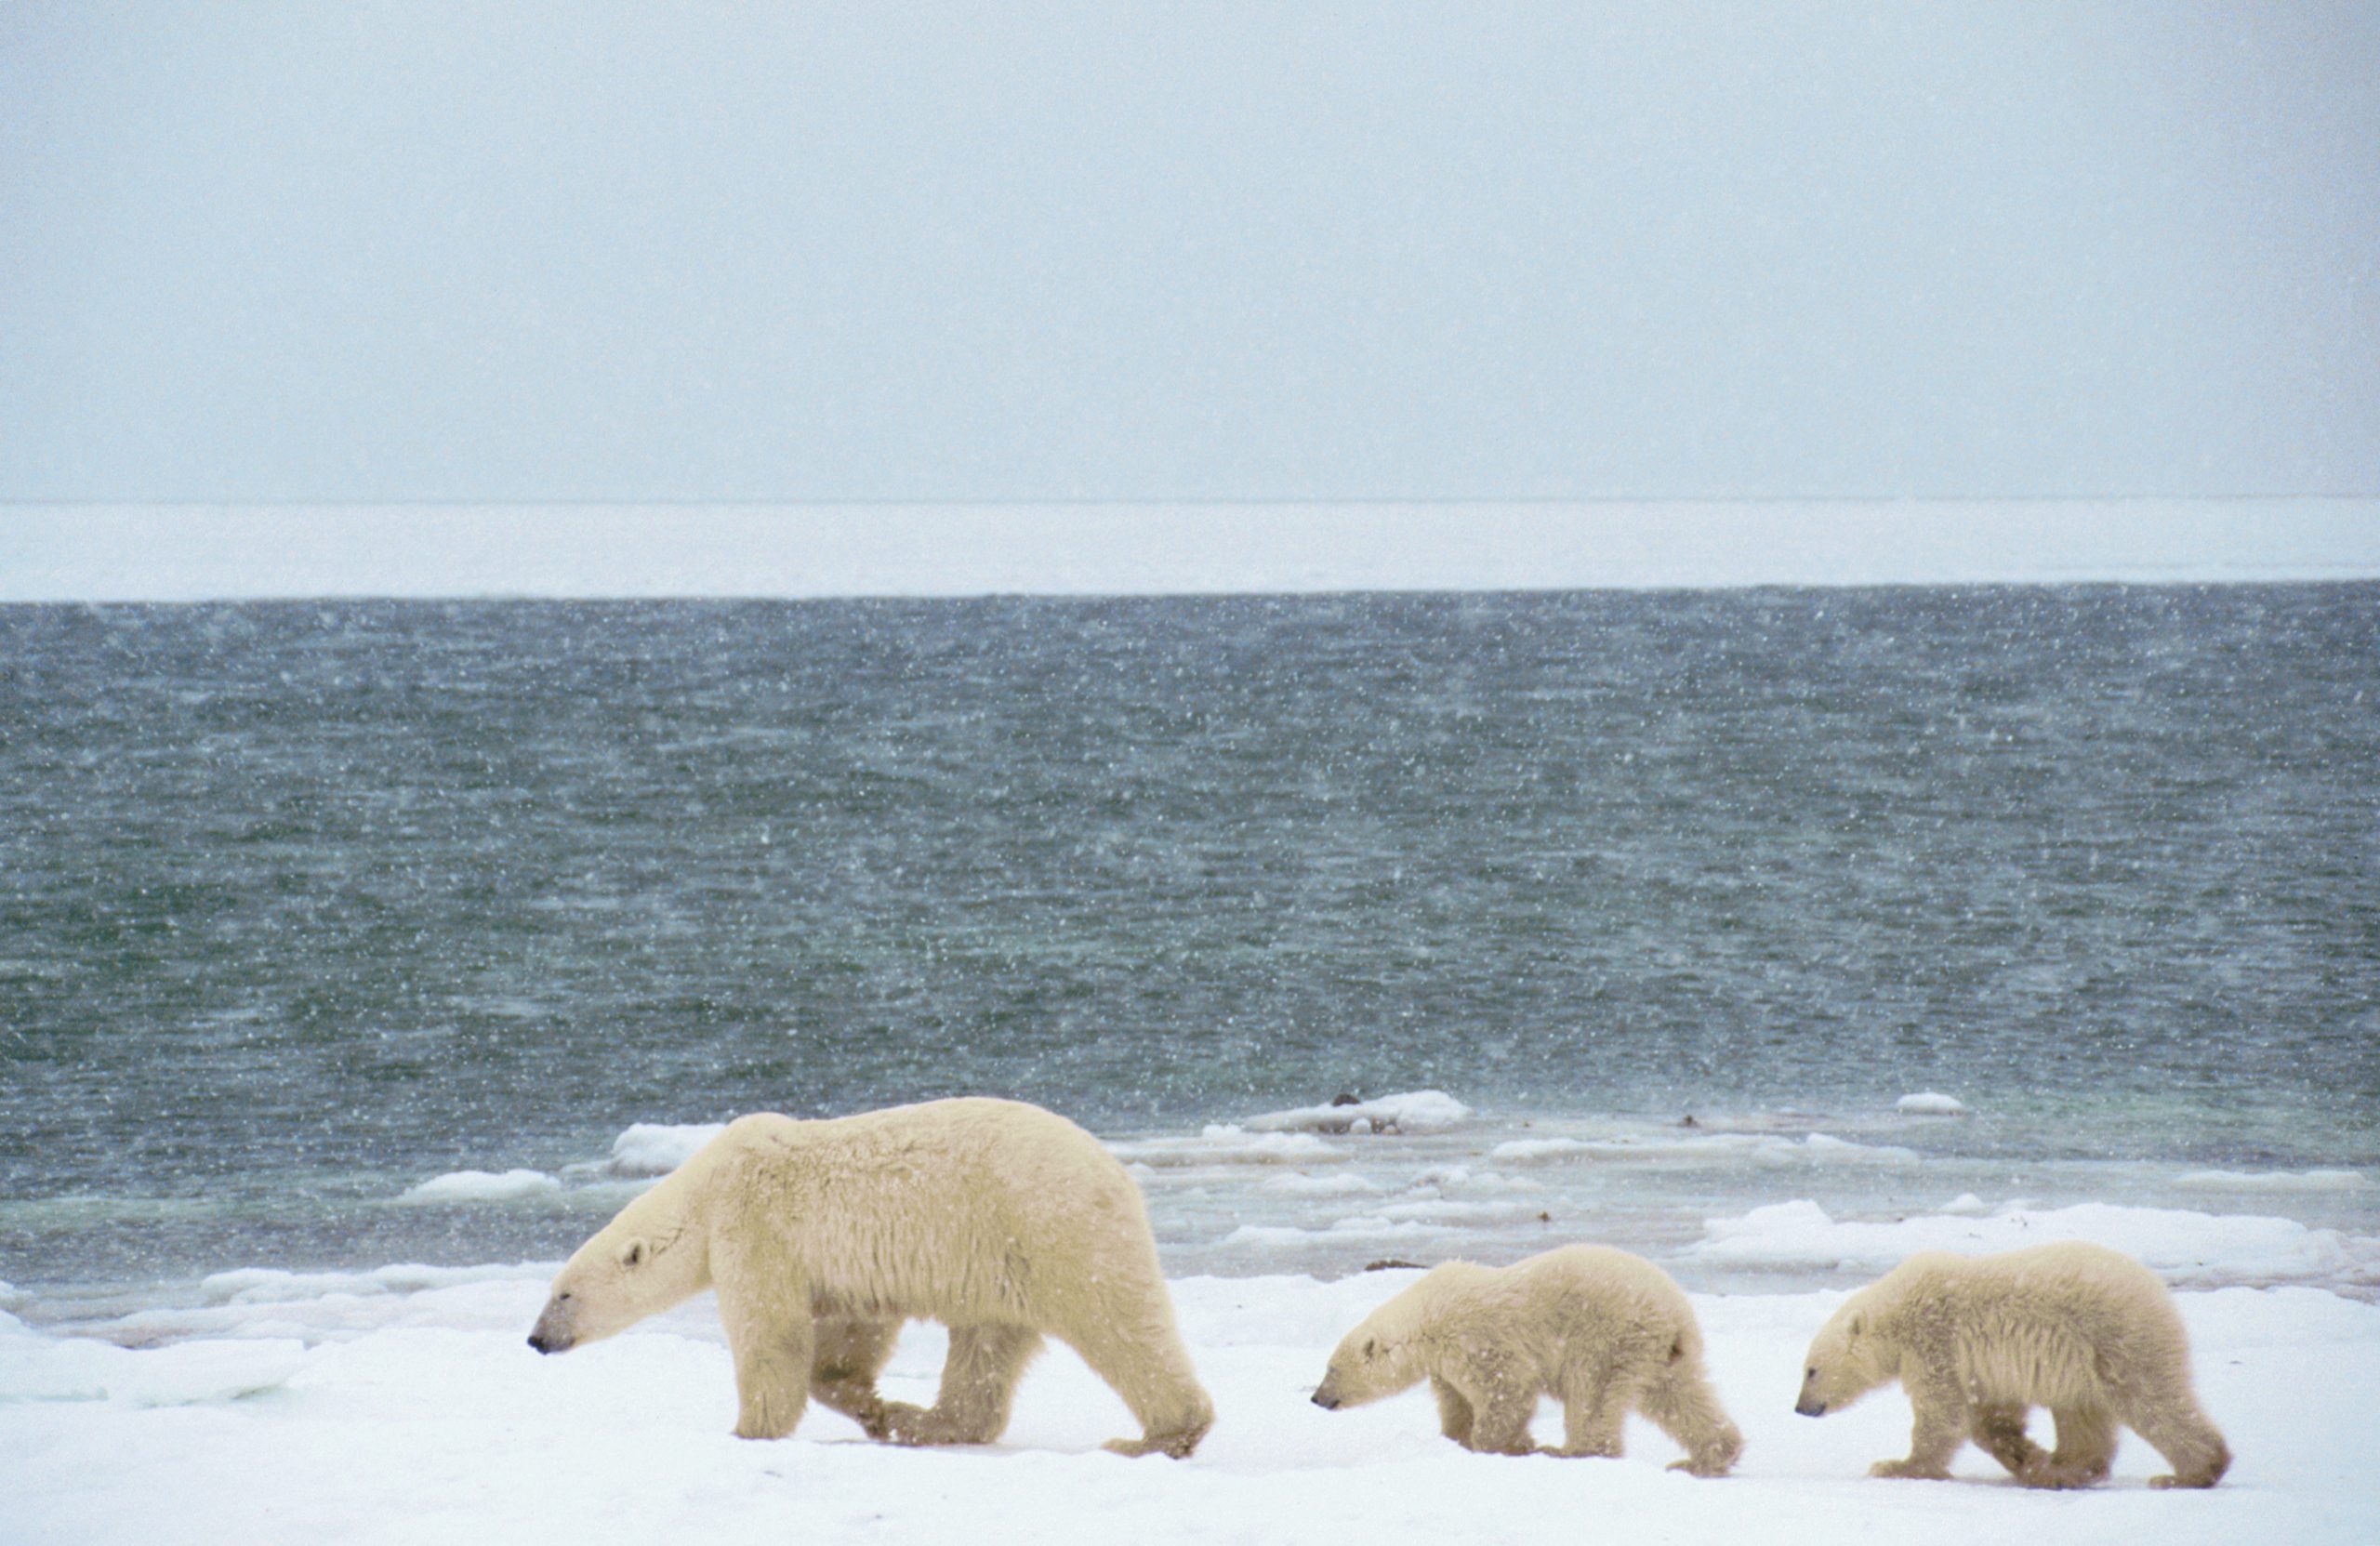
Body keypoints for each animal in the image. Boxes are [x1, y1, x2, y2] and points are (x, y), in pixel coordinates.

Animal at [526, 1097, 1213, 1458]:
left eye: (564, 1293)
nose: (536, 1339)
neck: (706, 1188)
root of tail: (1115, 1172)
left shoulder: (753, 1226)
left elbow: (771, 1333)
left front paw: (749, 1429)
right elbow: (850, 1331)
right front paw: (872, 1406)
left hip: (1050, 1229)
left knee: (1118, 1325)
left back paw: (1158, 1435)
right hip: (1002, 1258)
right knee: (986, 1347)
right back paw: (924, 1420)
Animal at [1309, 1244, 1742, 1474]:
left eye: (1331, 1369)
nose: (1316, 1398)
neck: (1429, 1315)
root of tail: (1675, 1315)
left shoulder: (1475, 1339)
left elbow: (1506, 1390)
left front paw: (1507, 1445)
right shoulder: (1445, 1364)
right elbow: (1456, 1402)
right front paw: (1457, 1439)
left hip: (1607, 1336)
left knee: (1592, 1394)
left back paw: (1569, 1451)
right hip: (1661, 1354)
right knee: (1680, 1396)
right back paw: (1705, 1457)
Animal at [1795, 1240, 2230, 1489]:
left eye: (1811, 1370)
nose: (1800, 1407)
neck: (1899, 1309)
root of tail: (2156, 1289)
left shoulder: (1936, 1341)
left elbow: (1942, 1413)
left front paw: (1897, 1466)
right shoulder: (1979, 1367)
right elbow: (1992, 1418)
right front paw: (2029, 1458)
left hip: (2116, 1338)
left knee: (2151, 1400)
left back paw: (2190, 1473)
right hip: (2084, 1360)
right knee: (2082, 1413)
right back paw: (2063, 1470)